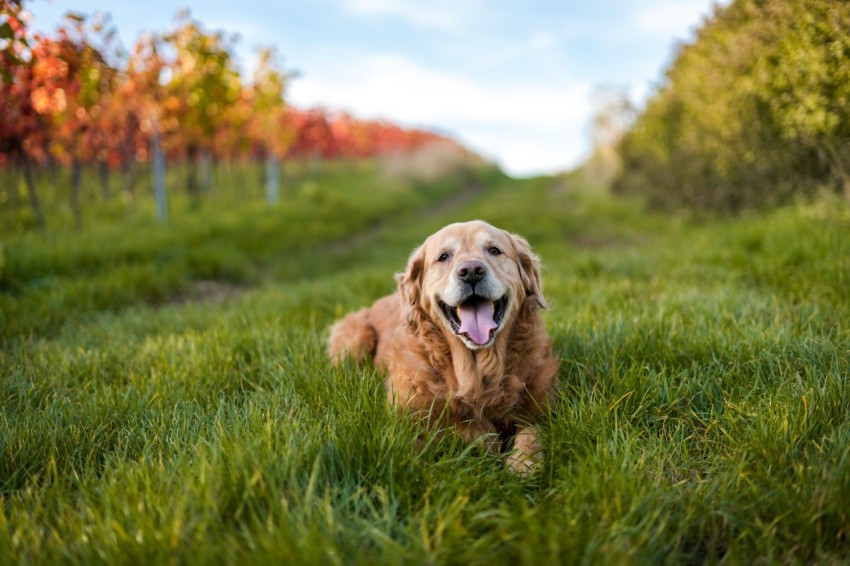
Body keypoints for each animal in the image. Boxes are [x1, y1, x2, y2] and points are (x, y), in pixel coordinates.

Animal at [326, 222, 556, 474]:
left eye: (494, 250)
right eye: (444, 257)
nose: (471, 271)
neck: (474, 373)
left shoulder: (543, 408)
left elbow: (532, 430)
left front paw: (524, 461)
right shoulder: (405, 419)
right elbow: (451, 429)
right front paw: (486, 440)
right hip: (356, 336)